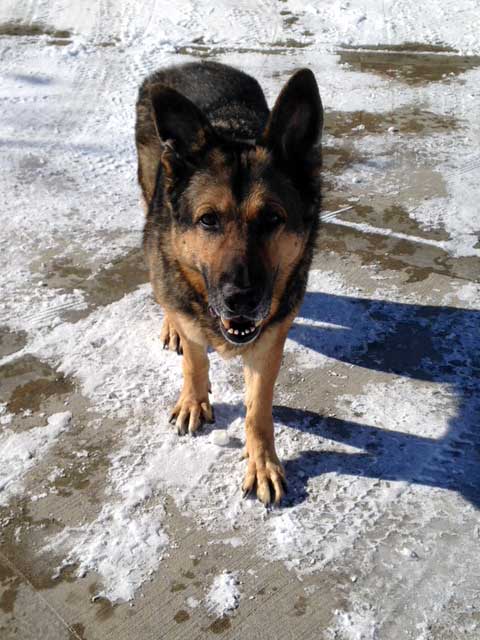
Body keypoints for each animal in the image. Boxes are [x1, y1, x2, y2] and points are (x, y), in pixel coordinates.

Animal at [135, 61, 322, 505]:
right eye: (208, 220)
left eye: (272, 218)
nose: (241, 300)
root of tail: (189, 64)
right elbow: (194, 360)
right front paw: (193, 399)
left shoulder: (270, 338)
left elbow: (258, 409)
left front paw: (263, 462)